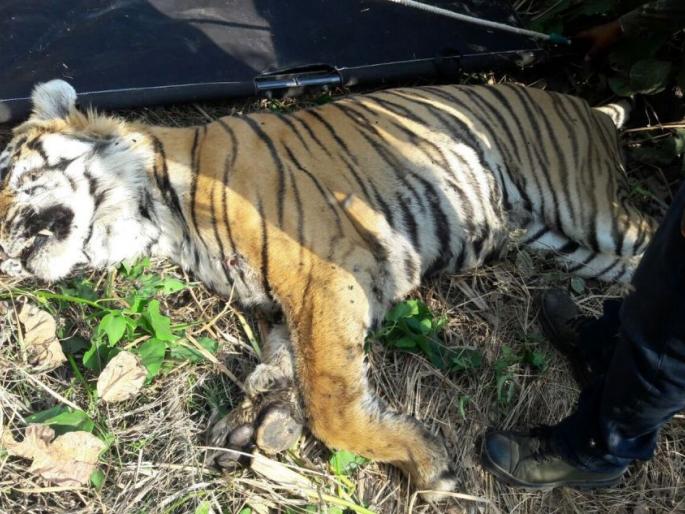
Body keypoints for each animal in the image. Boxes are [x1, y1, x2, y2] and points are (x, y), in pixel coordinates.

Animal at [0, 79, 656, 498]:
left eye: (9, 171)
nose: (2, 250)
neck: (157, 217)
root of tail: (591, 107)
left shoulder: (327, 274)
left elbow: (331, 397)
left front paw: (427, 464)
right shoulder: (280, 300)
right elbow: (287, 361)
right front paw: (256, 417)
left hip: (590, 211)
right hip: (567, 242)